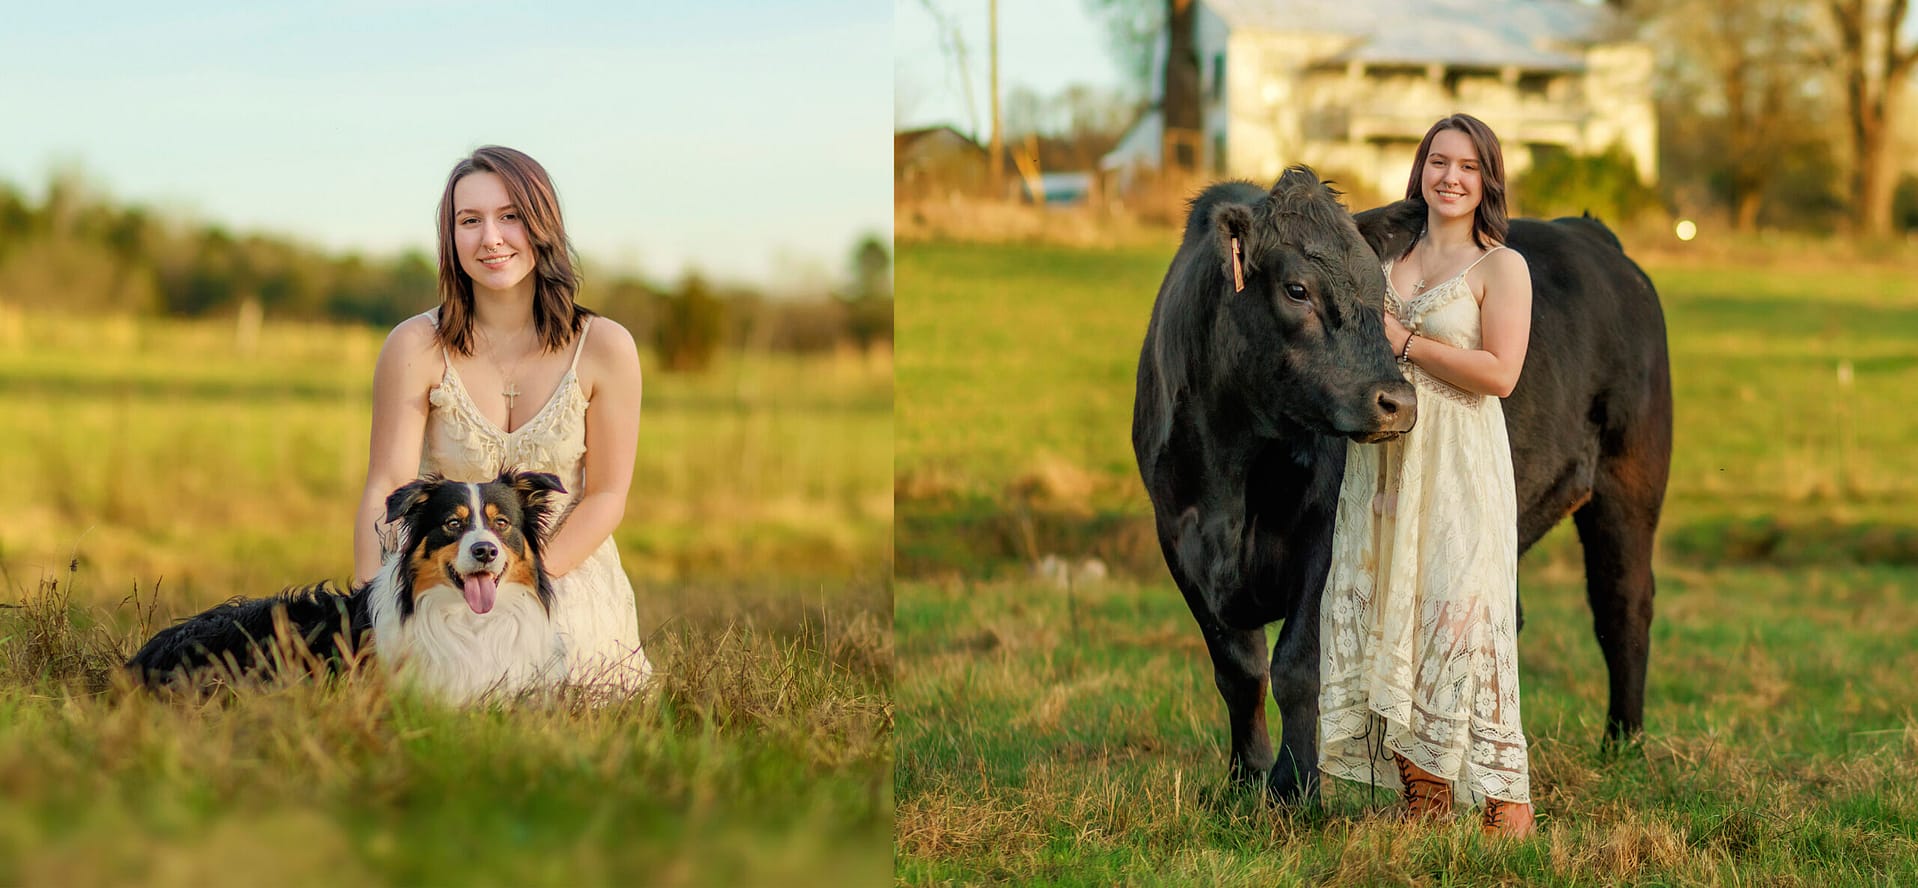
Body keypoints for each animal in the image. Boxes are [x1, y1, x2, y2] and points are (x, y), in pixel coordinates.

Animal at [1127, 168, 1672, 805]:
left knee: (1622, 606)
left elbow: (1296, 667)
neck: (1230, 480)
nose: (1398, 402)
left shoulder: (1325, 538)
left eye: (1378, 290)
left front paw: (1294, 790)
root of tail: (1590, 233)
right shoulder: (1179, 539)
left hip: (1628, 485)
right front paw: (1245, 780)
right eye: (1296, 289)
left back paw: (1623, 743)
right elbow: (1238, 671)